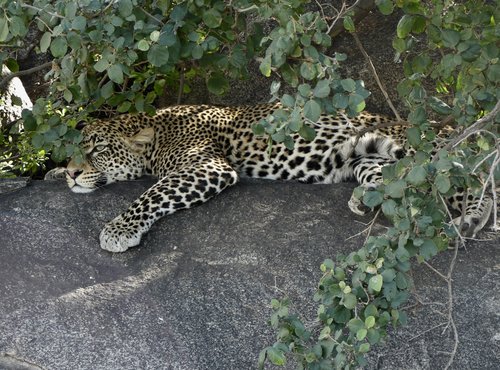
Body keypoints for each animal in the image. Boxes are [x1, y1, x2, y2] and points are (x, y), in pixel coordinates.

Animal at [64, 104, 494, 251]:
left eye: (97, 150)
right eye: (76, 148)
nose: (70, 173)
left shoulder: (207, 166)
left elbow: (153, 193)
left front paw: (118, 229)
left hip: (424, 152)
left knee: (475, 182)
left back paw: (470, 220)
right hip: (367, 155)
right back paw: (364, 198)